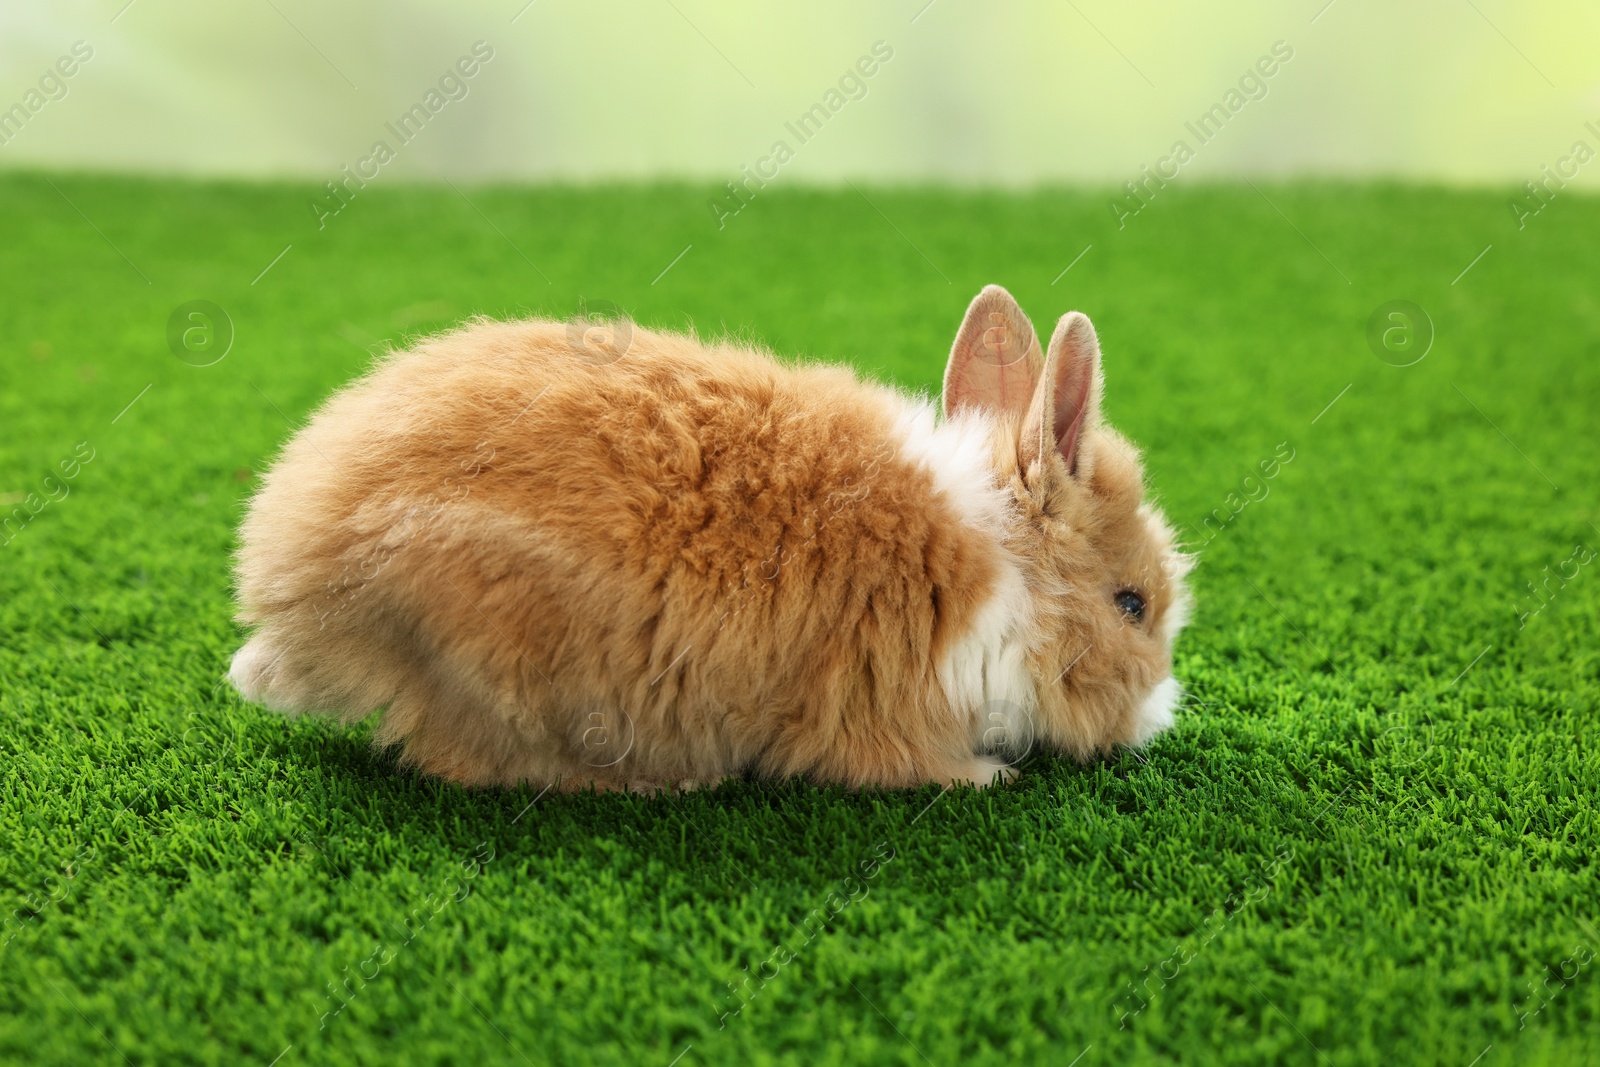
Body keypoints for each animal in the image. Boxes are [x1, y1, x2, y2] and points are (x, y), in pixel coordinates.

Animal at [232, 286, 1196, 793]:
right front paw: (991, 775)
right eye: (1131, 604)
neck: (1005, 569)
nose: (1158, 712)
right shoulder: (876, 712)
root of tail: (291, 599)